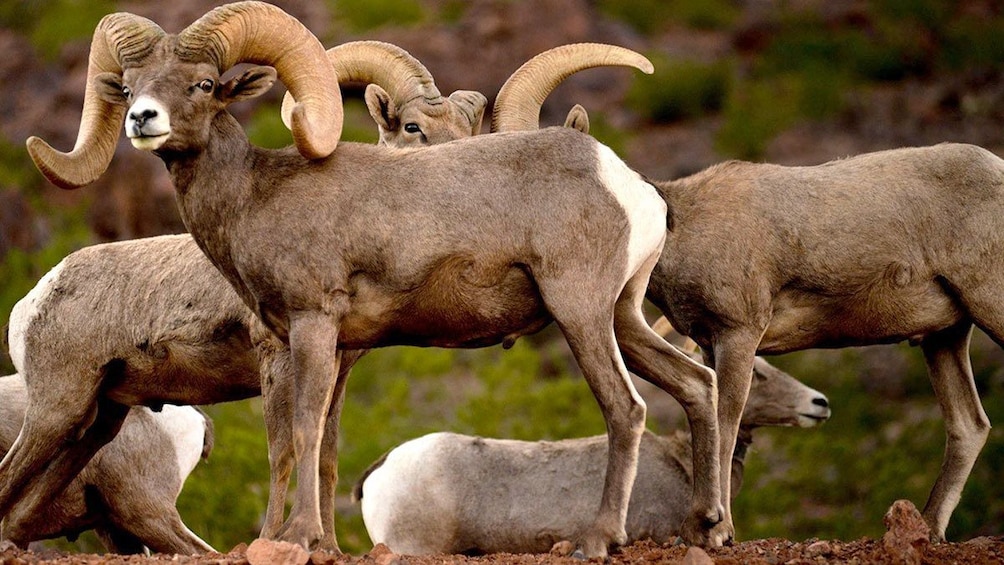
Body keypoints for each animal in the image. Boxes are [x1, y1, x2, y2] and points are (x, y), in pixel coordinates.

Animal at [499, 72, 1003, 541]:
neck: (677, 225)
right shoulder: (710, 344)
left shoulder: (739, 334)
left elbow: (725, 419)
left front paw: (717, 531)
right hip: (944, 337)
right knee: (969, 426)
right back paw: (931, 529)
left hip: (988, 307)